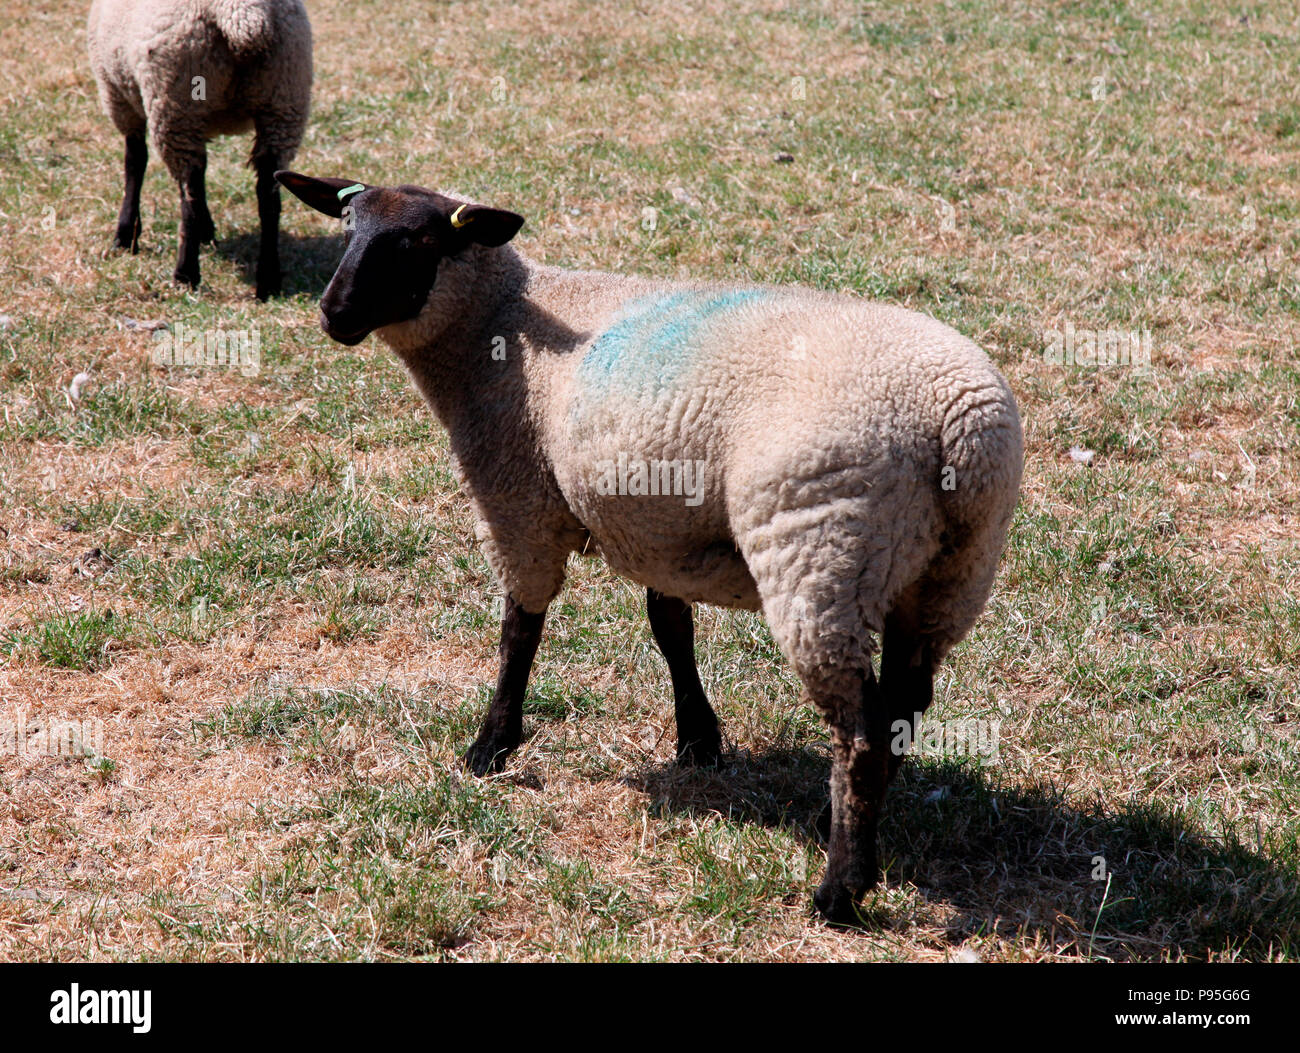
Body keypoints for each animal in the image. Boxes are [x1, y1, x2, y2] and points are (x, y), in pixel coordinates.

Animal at [88, 0, 312, 297]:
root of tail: (243, 16)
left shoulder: (117, 94)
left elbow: (134, 162)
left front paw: (126, 234)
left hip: (177, 102)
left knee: (189, 196)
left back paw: (186, 274)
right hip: (283, 102)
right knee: (268, 195)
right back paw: (268, 280)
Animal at [276, 170, 1024, 920]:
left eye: (418, 243)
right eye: (347, 231)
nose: (333, 312)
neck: (501, 323)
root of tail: (958, 426)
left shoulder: (517, 498)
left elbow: (520, 629)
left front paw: (491, 747)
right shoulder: (656, 524)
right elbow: (670, 627)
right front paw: (697, 740)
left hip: (819, 556)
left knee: (862, 734)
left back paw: (839, 889)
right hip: (948, 573)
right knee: (905, 707)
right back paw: (836, 824)